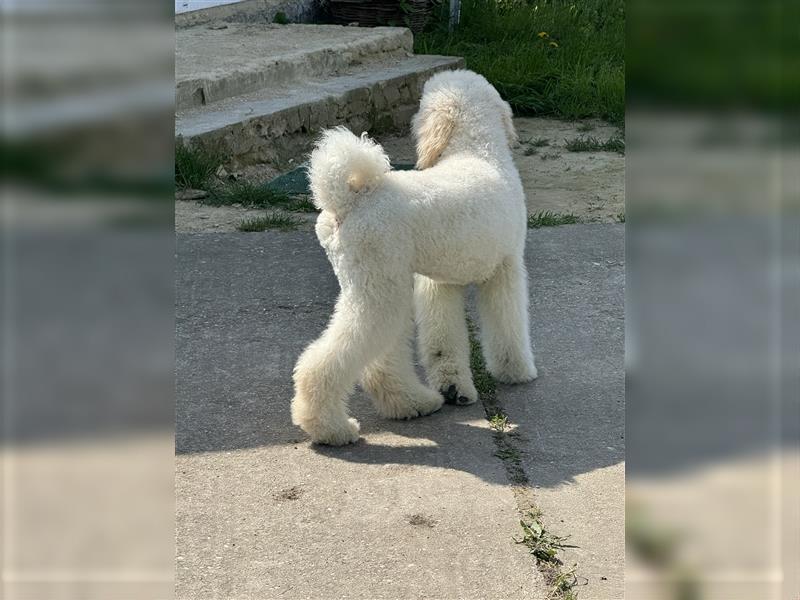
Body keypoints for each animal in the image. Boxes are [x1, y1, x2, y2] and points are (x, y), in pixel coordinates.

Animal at [290, 70, 536, 446]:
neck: (476, 149)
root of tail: (349, 199)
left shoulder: (438, 283)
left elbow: (442, 341)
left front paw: (453, 386)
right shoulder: (505, 269)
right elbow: (507, 325)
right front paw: (517, 370)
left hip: (380, 288)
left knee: (380, 364)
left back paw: (412, 403)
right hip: (380, 291)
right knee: (325, 365)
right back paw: (331, 428)